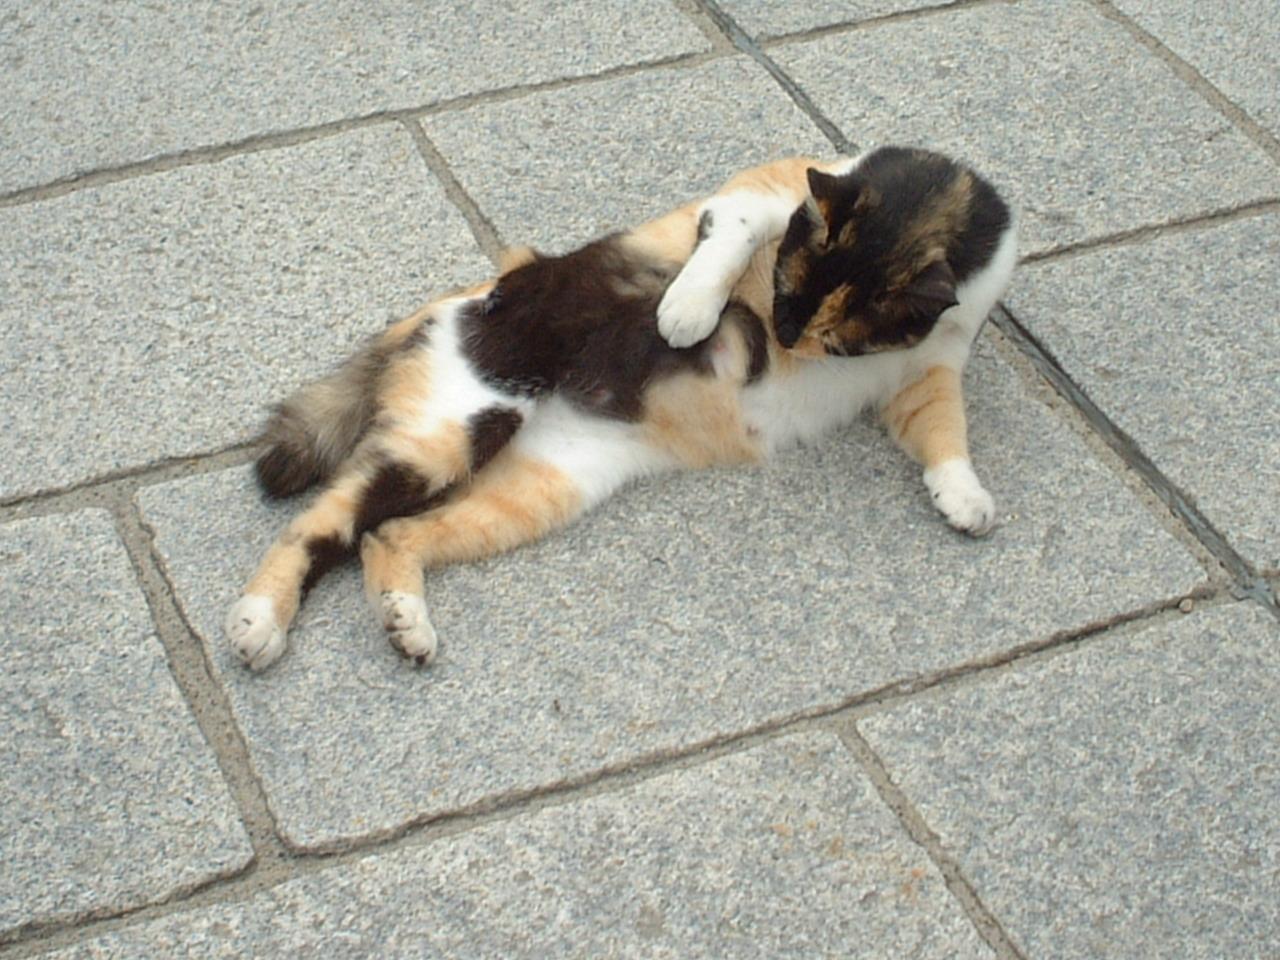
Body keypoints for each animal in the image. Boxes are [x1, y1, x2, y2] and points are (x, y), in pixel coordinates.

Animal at [226, 146, 1016, 671]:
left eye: (836, 339)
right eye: (785, 293)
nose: (786, 337)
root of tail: (464, 294)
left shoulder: (929, 372)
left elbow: (944, 429)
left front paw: (965, 494)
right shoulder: (753, 196)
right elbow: (727, 240)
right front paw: (689, 312)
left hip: (544, 487)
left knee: (389, 535)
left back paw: (404, 621)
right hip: (458, 424)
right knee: (321, 523)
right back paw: (260, 620)